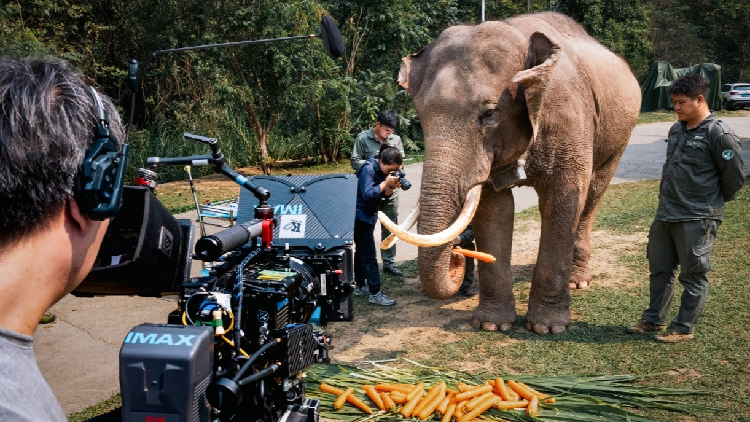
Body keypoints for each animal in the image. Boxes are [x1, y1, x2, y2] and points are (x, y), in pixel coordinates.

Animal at [380, 12, 641, 334]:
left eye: (489, 113)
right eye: (421, 115)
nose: (457, 253)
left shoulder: (569, 119)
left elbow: (562, 202)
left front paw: (547, 328)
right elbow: (494, 210)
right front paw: (491, 325)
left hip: (620, 133)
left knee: (592, 195)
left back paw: (577, 281)